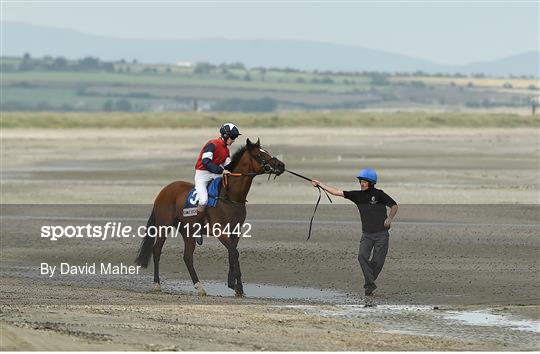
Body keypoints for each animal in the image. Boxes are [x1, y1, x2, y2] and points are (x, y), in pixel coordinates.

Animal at [134, 138, 284, 296]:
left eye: (267, 152)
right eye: (259, 155)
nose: (281, 165)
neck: (229, 196)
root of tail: (164, 190)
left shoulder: (235, 232)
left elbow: (232, 254)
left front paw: (233, 284)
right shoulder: (220, 231)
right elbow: (234, 253)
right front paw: (239, 287)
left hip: (188, 232)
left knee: (187, 257)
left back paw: (199, 286)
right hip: (164, 225)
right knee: (157, 250)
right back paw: (157, 284)